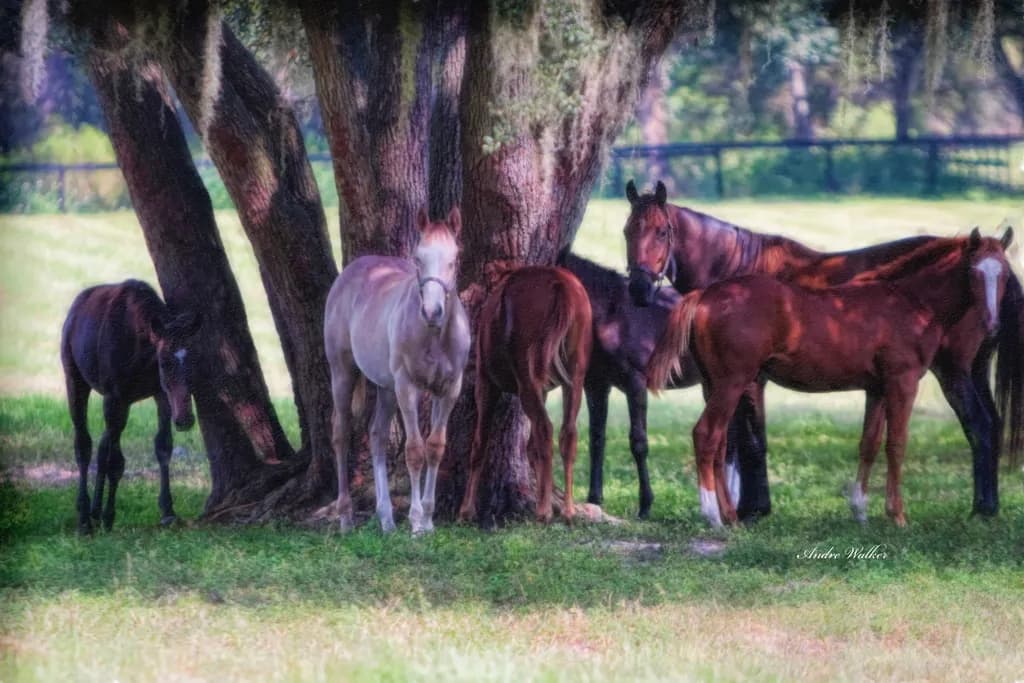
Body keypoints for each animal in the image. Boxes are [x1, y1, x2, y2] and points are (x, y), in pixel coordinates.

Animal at [61, 279, 201, 534]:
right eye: (164, 363)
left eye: (195, 360)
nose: (185, 419)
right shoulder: (115, 397)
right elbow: (116, 462)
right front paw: (109, 516)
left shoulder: (161, 394)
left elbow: (163, 446)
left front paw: (168, 510)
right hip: (76, 381)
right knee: (84, 445)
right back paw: (85, 516)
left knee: (103, 446)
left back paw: (94, 510)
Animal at [324, 207, 471, 535]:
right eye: (418, 258)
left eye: (454, 259)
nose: (432, 312)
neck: (434, 337)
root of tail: (352, 272)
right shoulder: (408, 386)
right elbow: (414, 450)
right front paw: (416, 522)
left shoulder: (449, 389)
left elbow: (435, 447)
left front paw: (428, 519)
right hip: (343, 373)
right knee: (340, 433)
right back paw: (346, 517)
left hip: (386, 388)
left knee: (377, 434)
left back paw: (386, 518)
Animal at [458, 266, 593, 524]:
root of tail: (561, 285)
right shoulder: (546, 387)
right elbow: (529, 447)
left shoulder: (485, 378)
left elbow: (479, 443)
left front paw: (466, 511)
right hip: (576, 367)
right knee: (567, 432)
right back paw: (568, 510)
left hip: (527, 366)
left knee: (545, 428)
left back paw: (544, 511)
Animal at [559, 252, 765, 519]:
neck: (611, 315)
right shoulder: (596, 385)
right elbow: (596, 439)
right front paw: (595, 499)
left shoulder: (635, 383)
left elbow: (638, 443)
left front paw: (645, 505)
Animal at [624, 180, 1024, 517]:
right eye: (628, 230)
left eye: (662, 231)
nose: (639, 289)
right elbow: (741, 442)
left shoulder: (753, 381)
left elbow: (752, 442)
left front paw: (755, 508)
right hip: (968, 371)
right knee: (989, 424)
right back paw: (985, 506)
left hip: (953, 371)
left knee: (980, 426)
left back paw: (982, 509)